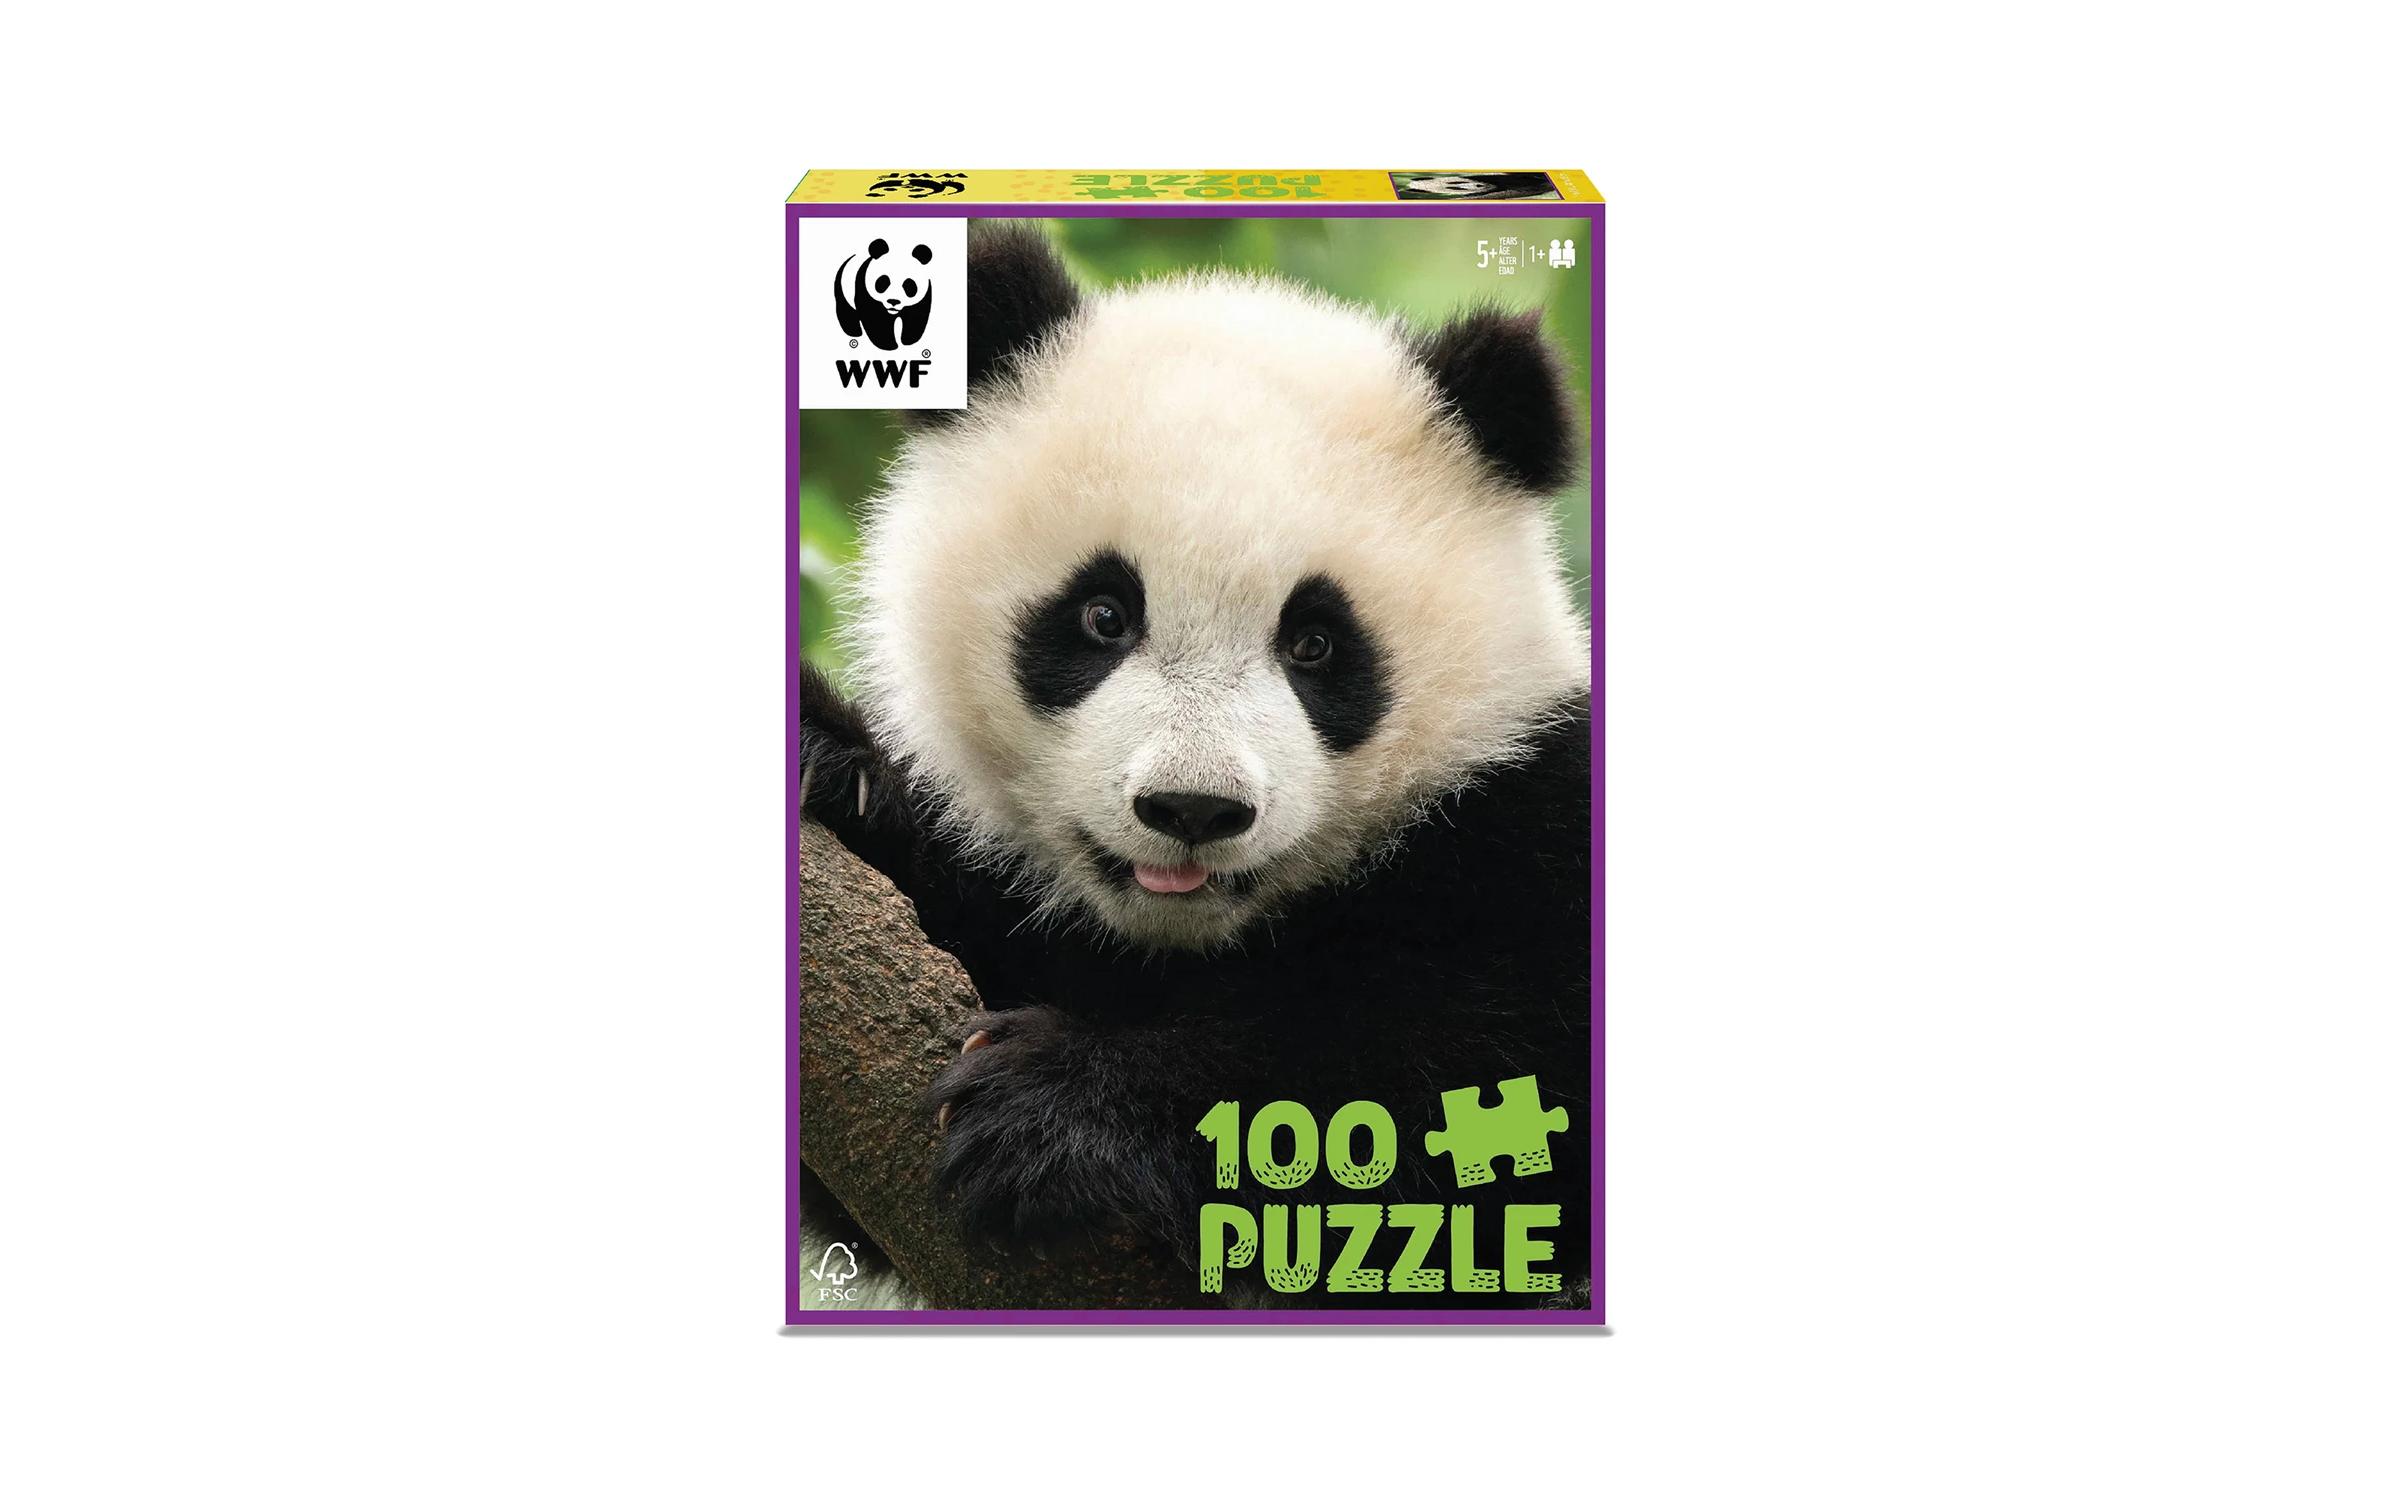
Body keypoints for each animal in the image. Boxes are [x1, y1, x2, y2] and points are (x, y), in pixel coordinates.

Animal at [800, 224, 1593, 1308]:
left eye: (1315, 645)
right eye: (1102, 615)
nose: (1192, 810)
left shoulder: (1536, 818)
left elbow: (1468, 1080)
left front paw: (1057, 1114)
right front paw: (834, 766)